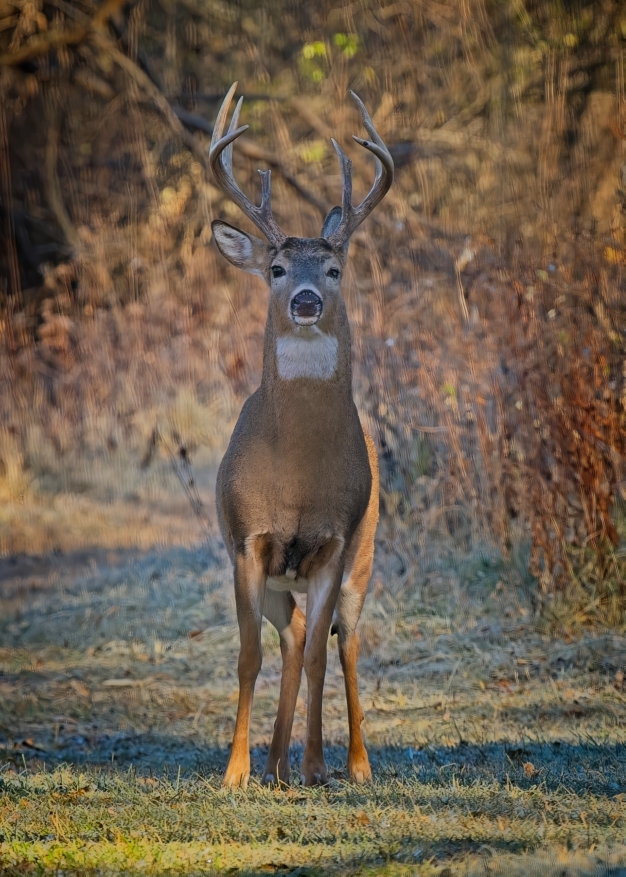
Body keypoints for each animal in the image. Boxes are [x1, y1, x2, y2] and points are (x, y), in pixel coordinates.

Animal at [209, 83, 393, 788]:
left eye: (335, 268)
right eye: (278, 267)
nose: (307, 300)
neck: (294, 479)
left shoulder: (334, 544)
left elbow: (321, 653)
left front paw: (318, 765)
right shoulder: (246, 543)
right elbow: (249, 658)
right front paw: (235, 772)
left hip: (365, 557)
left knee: (346, 643)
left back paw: (351, 764)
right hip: (271, 579)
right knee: (286, 640)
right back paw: (276, 761)